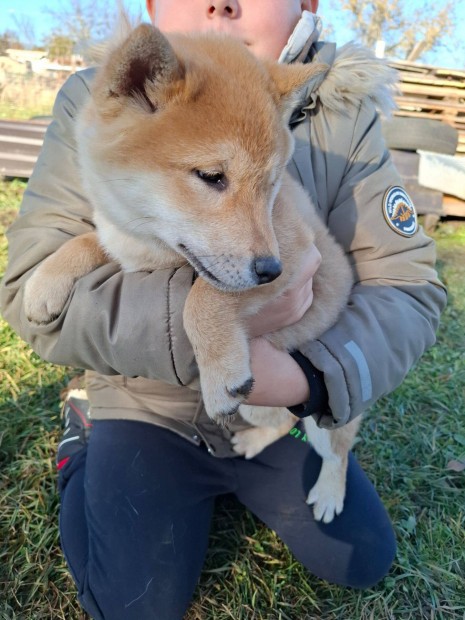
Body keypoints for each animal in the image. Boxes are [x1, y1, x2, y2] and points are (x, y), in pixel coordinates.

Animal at [23, 21, 358, 520]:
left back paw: (331, 493)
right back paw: (253, 443)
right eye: (211, 177)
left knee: (337, 447)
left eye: (272, 184)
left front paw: (218, 370)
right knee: (282, 424)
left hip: (312, 408)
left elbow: (204, 297)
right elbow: (87, 240)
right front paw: (44, 283)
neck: (153, 244)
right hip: (264, 403)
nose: (269, 270)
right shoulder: (126, 242)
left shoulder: (298, 256)